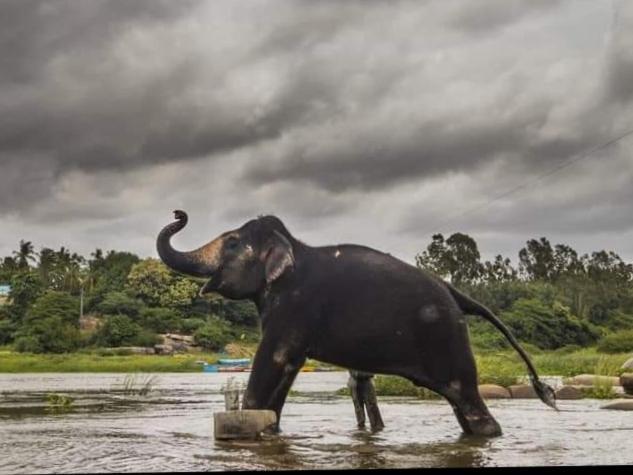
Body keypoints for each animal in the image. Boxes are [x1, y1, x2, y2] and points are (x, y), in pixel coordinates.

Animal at [157, 212, 552, 438]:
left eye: (232, 242)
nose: (179, 213)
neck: (293, 247)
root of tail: (456, 292)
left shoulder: (295, 307)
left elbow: (274, 358)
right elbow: (285, 373)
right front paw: (271, 429)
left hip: (446, 338)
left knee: (468, 400)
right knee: (462, 407)